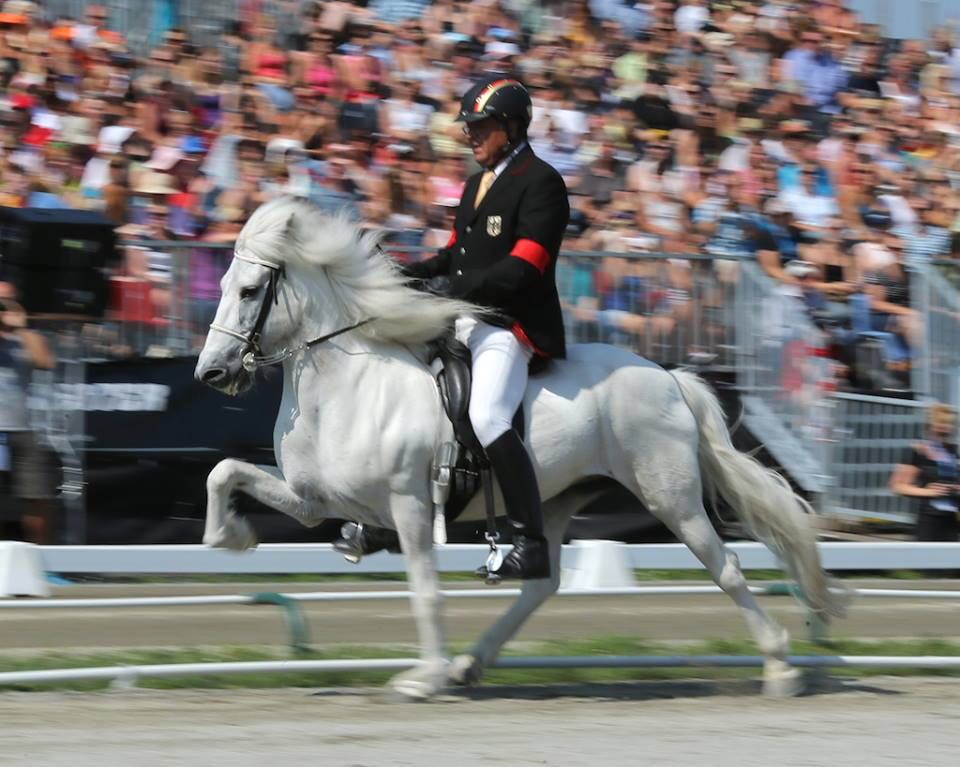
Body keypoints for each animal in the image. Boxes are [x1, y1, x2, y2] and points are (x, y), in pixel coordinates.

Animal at [195, 196, 846, 700]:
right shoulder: (315, 500)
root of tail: (668, 377)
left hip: (672, 497)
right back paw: (471, 663)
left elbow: (425, 592)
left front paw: (424, 678)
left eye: (249, 291)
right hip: (556, 498)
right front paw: (234, 536)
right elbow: (224, 471)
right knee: (541, 581)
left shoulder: (410, 505)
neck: (350, 381)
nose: (210, 374)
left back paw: (780, 668)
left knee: (726, 567)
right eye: (221, 285)